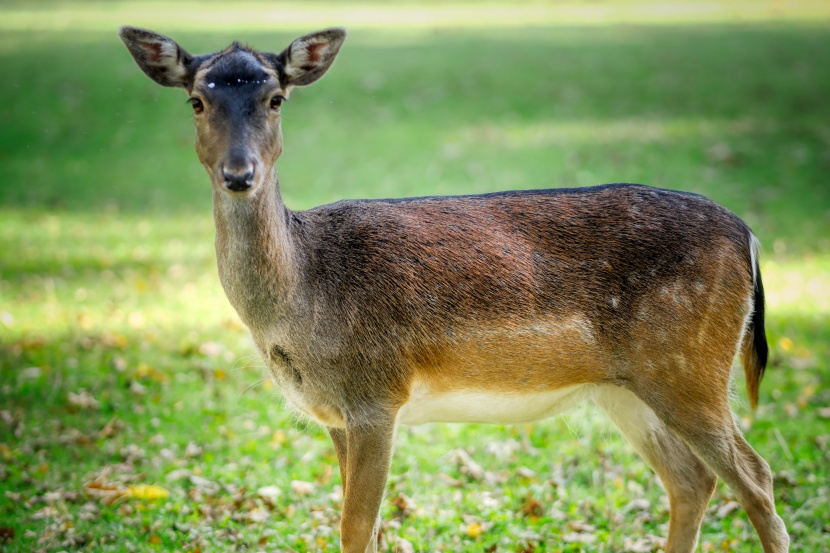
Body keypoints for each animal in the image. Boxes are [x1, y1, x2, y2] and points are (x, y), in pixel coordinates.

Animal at [118, 25, 792, 552]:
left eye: (276, 97)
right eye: (196, 101)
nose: (240, 173)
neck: (301, 302)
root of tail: (750, 236)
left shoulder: (376, 395)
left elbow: (355, 529)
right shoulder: (336, 414)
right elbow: (369, 529)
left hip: (690, 366)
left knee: (756, 478)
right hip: (628, 387)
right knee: (692, 481)